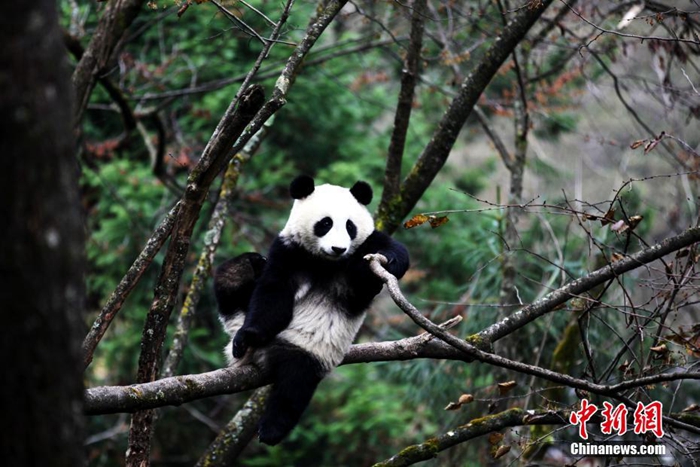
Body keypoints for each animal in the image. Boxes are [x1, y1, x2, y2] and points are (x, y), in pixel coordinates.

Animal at [213, 175, 410, 446]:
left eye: (350, 226)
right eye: (325, 223)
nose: (338, 248)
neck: (324, 262)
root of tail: (261, 356)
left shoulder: (365, 248)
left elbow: (388, 256)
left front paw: (389, 261)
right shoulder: (288, 251)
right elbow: (273, 295)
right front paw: (247, 336)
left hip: (306, 349)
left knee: (294, 385)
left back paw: (271, 430)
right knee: (230, 274)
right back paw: (248, 267)